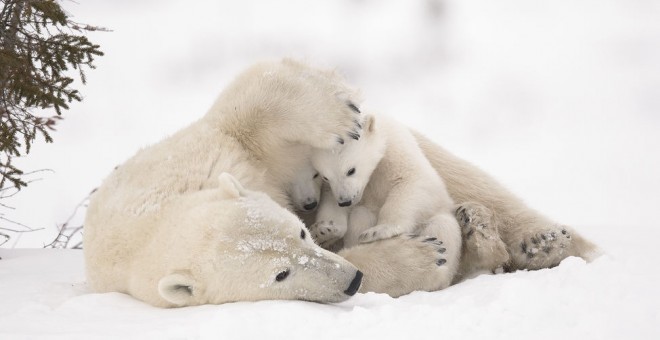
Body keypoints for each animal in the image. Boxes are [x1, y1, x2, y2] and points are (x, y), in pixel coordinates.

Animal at [308, 114, 458, 290]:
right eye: (325, 176)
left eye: (351, 170)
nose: (345, 201)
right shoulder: (339, 190)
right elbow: (331, 200)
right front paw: (325, 230)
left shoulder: (397, 150)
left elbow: (412, 182)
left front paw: (377, 231)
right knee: (361, 216)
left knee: (441, 226)